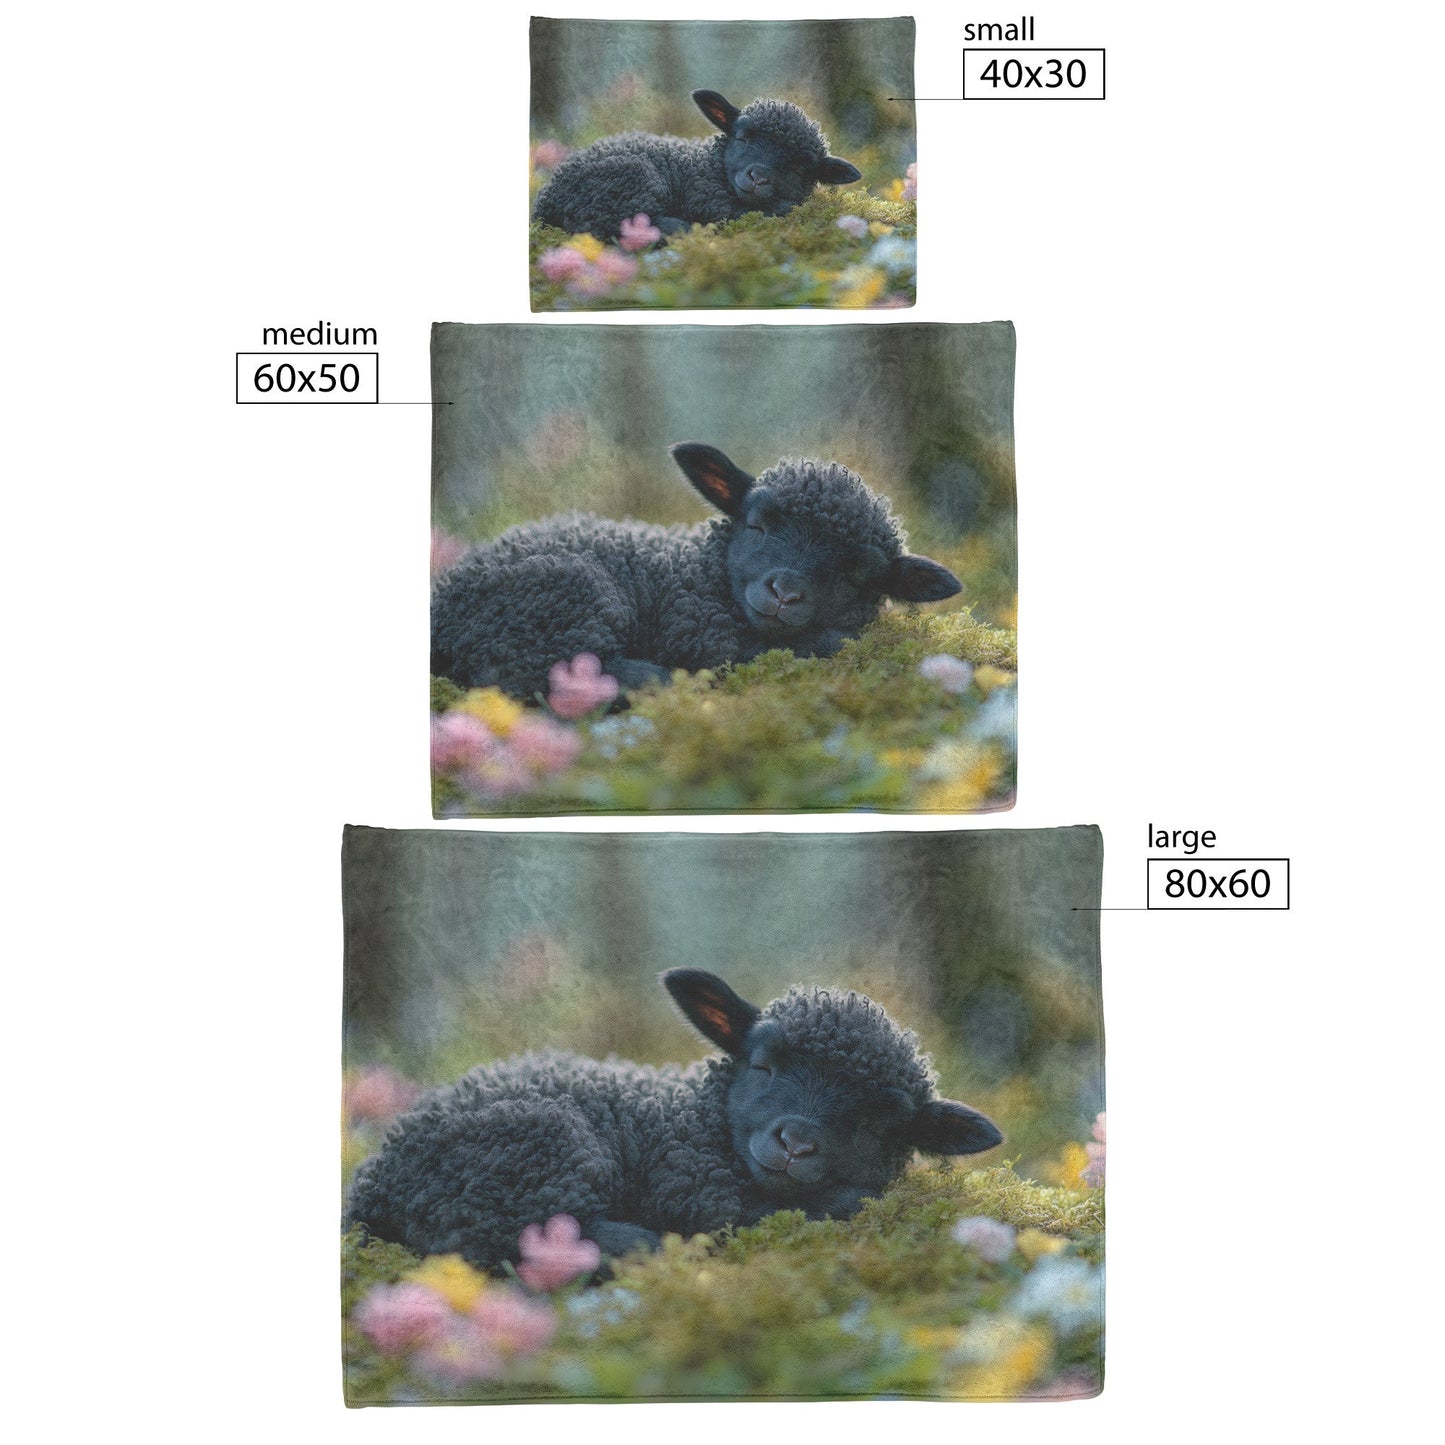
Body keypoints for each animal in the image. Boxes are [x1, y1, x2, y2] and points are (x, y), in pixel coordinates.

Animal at [345, 968, 1003, 1268]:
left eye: (879, 1122)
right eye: (762, 1065)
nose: (795, 1142)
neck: (692, 1116)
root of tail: (375, 1184)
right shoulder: (696, 1194)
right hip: (536, 1147)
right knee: (484, 1239)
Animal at [431, 442, 962, 699]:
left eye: (856, 573)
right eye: (756, 524)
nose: (784, 593)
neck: (698, 572)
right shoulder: (702, 634)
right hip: (564, 597)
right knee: (519, 673)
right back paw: (654, 678)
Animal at [533, 90, 863, 242]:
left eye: (798, 167)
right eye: (742, 137)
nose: (758, 177)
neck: (706, 164)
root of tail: (547, 199)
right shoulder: (708, 201)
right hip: (628, 181)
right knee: (603, 225)